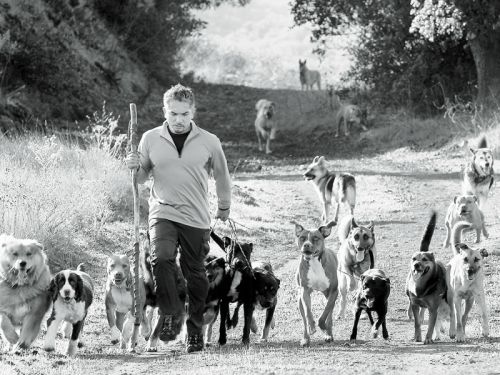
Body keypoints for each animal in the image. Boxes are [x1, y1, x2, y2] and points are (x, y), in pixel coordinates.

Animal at [404, 210, 456, 346]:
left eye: (424, 259)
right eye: (414, 259)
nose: (416, 265)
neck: (422, 285)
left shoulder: (433, 308)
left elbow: (431, 325)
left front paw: (428, 338)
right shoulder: (415, 304)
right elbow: (417, 322)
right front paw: (417, 336)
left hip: (449, 297)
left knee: (452, 313)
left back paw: (452, 331)